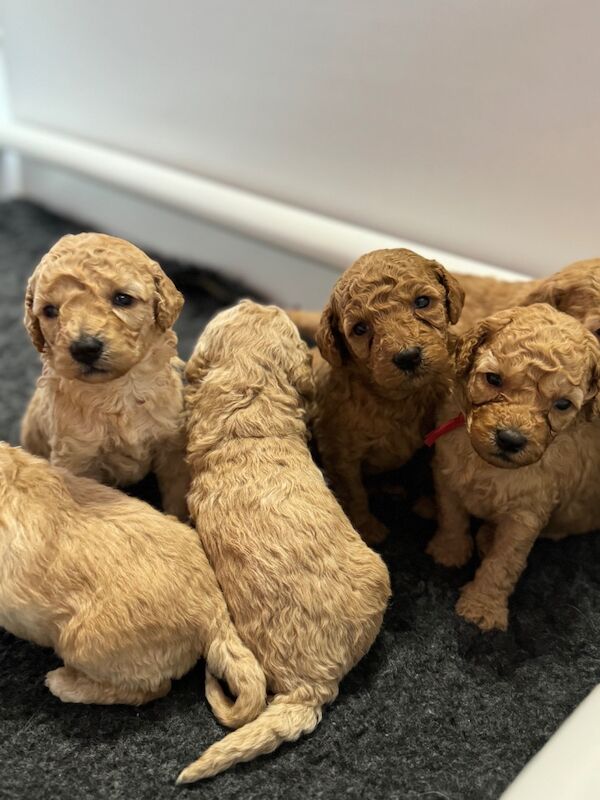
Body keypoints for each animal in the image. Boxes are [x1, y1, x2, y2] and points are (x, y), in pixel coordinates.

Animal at [21, 231, 189, 520]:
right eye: (50, 311)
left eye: (123, 299)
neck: (117, 390)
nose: (84, 348)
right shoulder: (76, 456)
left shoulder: (171, 445)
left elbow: (177, 493)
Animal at [290, 245, 464, 544]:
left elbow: (423, 470)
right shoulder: (340, 453)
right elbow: (354, 492)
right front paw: (368, 529)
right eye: (360, 329)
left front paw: (428, 503)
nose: (408, 357)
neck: (400, 399)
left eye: (422, 302)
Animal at [424, 304, 600, 632]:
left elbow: (504, 562)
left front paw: (482, 608)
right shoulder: (446, 471)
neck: (488, 466)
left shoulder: (526, 514)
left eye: (562, 405)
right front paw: (449, 552)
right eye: (493, 379)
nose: (510, 439)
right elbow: (452, 516)